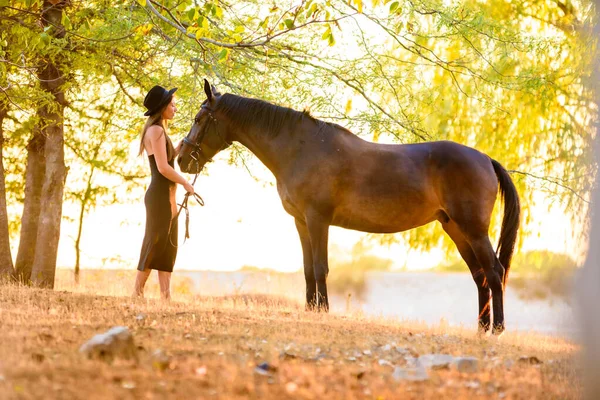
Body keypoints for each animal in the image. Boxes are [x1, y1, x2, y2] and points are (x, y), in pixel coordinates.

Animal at [178, 79, 520, 334]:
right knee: (480, 276)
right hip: (455, 229)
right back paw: (481, 329)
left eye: (199, 119)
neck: (300, 149)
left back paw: (498, 329)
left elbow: (320, 267)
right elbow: (307, 269)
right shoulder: (301, 222)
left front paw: (323, 311)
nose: (181, 159)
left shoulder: (318, 219)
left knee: (494, 271)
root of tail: (485, 159)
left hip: (473, 230)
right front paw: (311, 310)